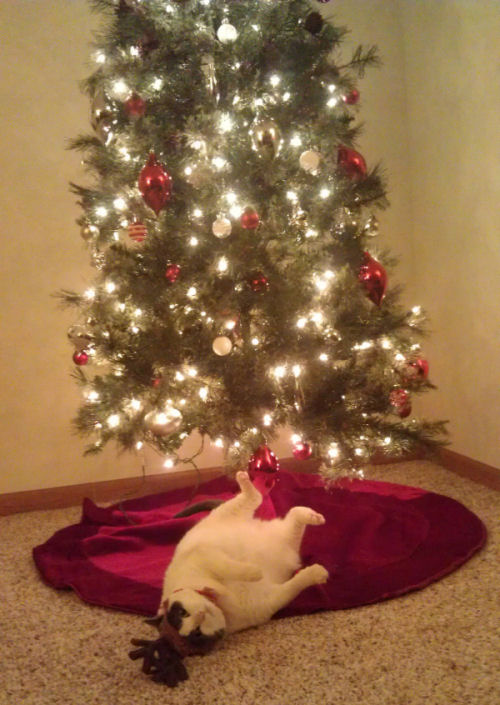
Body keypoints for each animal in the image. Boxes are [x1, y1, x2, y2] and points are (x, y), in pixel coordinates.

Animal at [156, 470, 328, 652]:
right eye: (196, 633)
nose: (200, 615)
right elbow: (297, 583)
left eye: (183, 613)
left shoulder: (203, 555)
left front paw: (254, 572)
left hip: (229, 512)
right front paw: (317, 573)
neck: (221, 598)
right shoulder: (268, 601)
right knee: (291, 515)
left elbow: (228, 567)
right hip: (287, 537)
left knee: (256, 498)